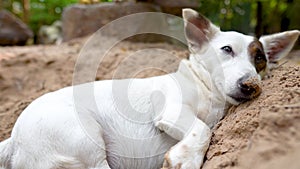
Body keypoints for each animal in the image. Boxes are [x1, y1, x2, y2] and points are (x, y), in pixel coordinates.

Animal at [0, 8, 298, 169]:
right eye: (227, 49)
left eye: (260, 59)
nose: (251, 86)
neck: (207, 91)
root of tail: (13, 140)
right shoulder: (172, 109)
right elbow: (201, 129)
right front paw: (185, 158)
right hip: (85, 141)